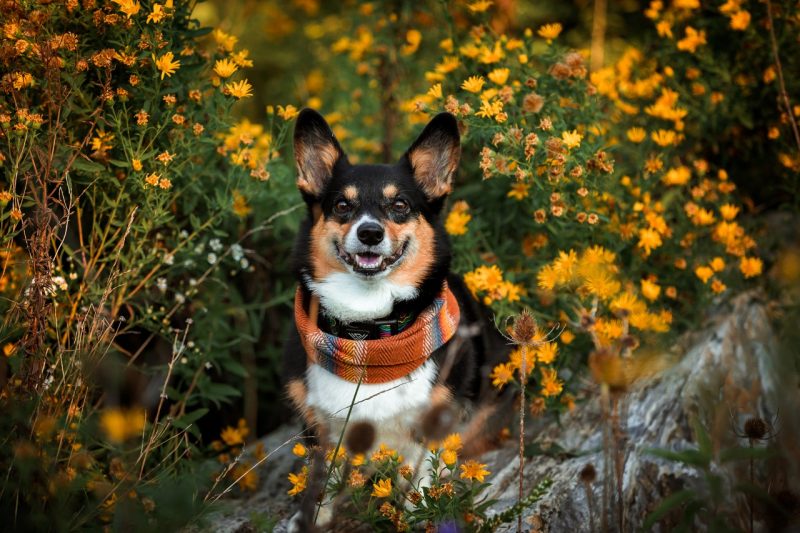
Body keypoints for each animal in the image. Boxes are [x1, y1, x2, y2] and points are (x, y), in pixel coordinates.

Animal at [284, 108, 510, 524]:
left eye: (400, 204)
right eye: (342, 206)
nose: (370, 233)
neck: (367, 334)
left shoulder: (434, 424)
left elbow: (420, 479)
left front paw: (416, 513)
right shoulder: (317, 427)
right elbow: (321, 481)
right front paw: (313, 518)